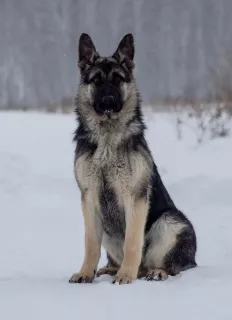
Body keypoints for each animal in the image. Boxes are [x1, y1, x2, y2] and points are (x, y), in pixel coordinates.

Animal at [69, 33, 198, 284]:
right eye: (96, 81)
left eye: (118, 80)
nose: (108, 100)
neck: (108, 137)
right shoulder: (89, 198)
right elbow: (90, 244)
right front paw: (86, 273)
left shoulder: (135, 198)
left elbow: (132, 241)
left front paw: (126, 275)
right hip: (108, 231)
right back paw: (110, 269)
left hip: (170, 221)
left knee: (168, 265)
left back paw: (153, 272)